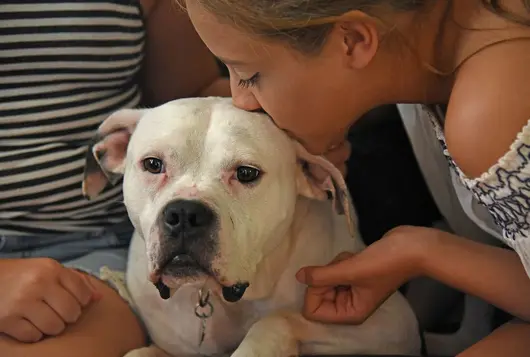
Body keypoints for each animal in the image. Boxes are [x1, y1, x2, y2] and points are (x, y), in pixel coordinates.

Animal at [82, 97, 418, 356]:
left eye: (246, 173)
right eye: (153, 164)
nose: (185, 214)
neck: (211, 296)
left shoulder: (391, 322)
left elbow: (277, 320)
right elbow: (138, 352)